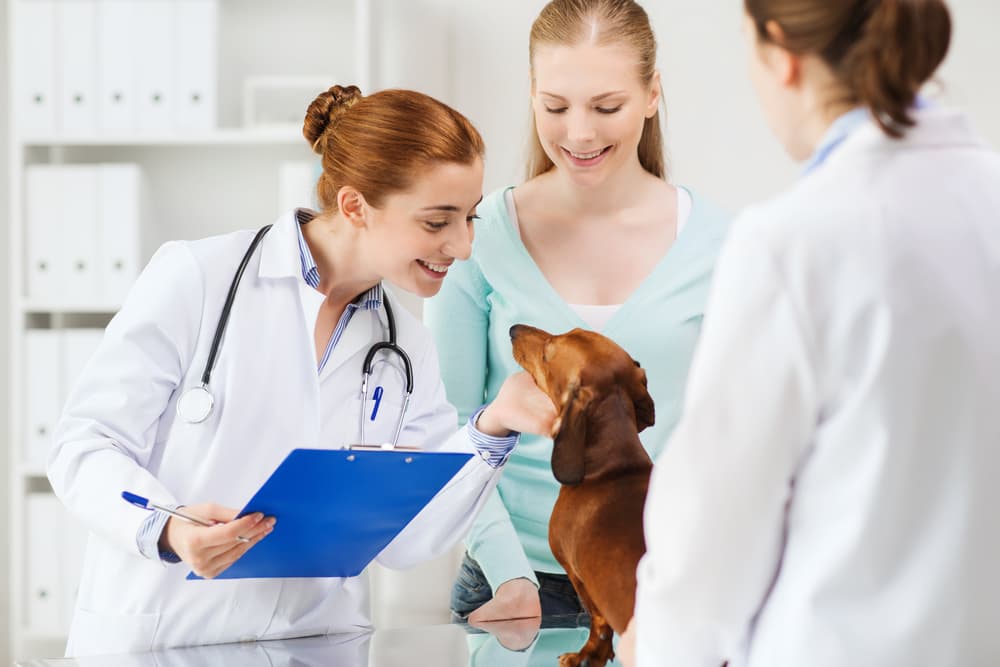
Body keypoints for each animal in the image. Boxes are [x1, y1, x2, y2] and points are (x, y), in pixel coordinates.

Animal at [508, 324, 656, 667]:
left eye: (548, 352)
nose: (513, 330)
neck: (613, 467)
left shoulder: (577, 575)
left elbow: (598, 623)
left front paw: (587, 655)